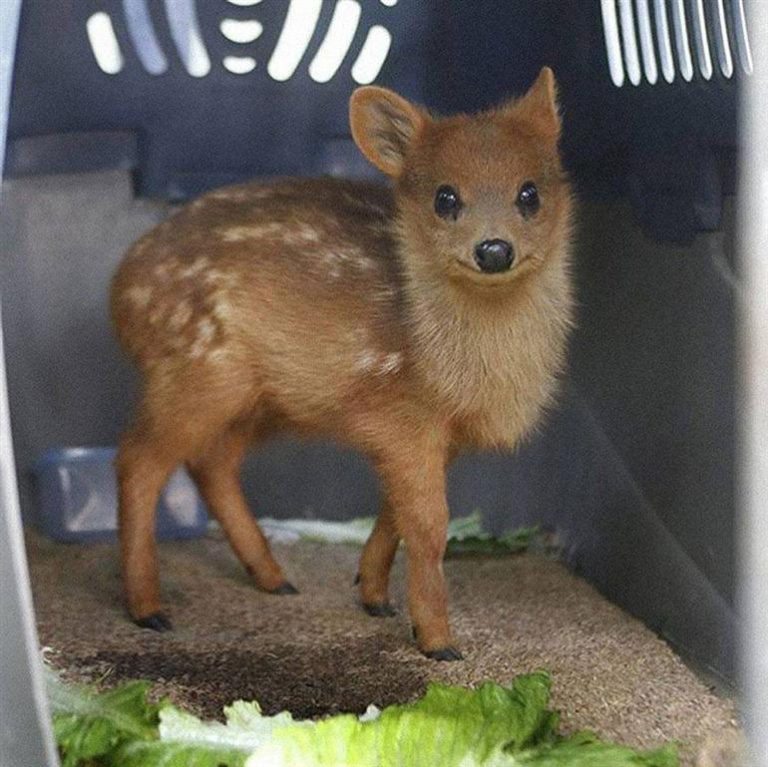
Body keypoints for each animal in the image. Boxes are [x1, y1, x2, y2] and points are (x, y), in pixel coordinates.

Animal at [111, 69, 572, 664]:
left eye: (530, 193)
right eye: (445, 197)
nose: (494, 250)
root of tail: (120, 291)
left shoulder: (427, 435)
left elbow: (395, 511)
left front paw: (374, 595)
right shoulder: (401, 416)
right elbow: (430, 526)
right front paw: (438, 640)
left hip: (264, 398)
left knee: (210, 462)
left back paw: (274, 577)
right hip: (196, 372)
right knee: (138, 461)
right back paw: (149, 608)